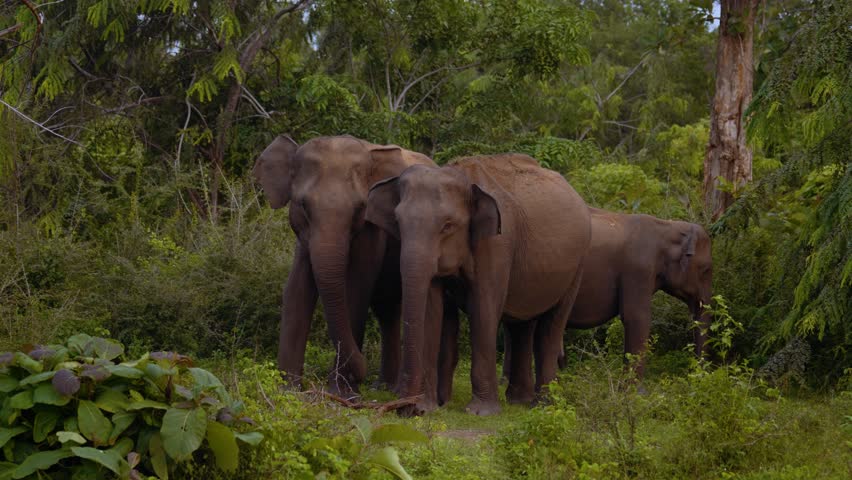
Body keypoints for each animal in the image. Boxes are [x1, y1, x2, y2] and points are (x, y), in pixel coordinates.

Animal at [252, 134, 434, 396]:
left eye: (360, 208)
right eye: (303, 205)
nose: (362, 369)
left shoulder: (372, 229)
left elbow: (356, 287)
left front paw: (341, 393)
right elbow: (297, 288)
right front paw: (288, 389)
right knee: (387, 309)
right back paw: (383, 386)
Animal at [366, 154, 591, 416]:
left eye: (447, 225)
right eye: (397, 221)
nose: (406, 408)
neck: (462, 176)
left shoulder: (498, 243)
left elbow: (484, 309)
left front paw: (480, 412)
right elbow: (431, 310)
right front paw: (426, 408)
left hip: (578, 264)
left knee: (550, 328)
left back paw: (542, 407)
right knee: (522, 326)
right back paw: (519, 401)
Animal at [502, 208, 713, 380]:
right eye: (705, 271)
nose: (695, 375)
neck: (667, 226)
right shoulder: (638, 269)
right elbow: (637, 317)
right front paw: (636, 393)